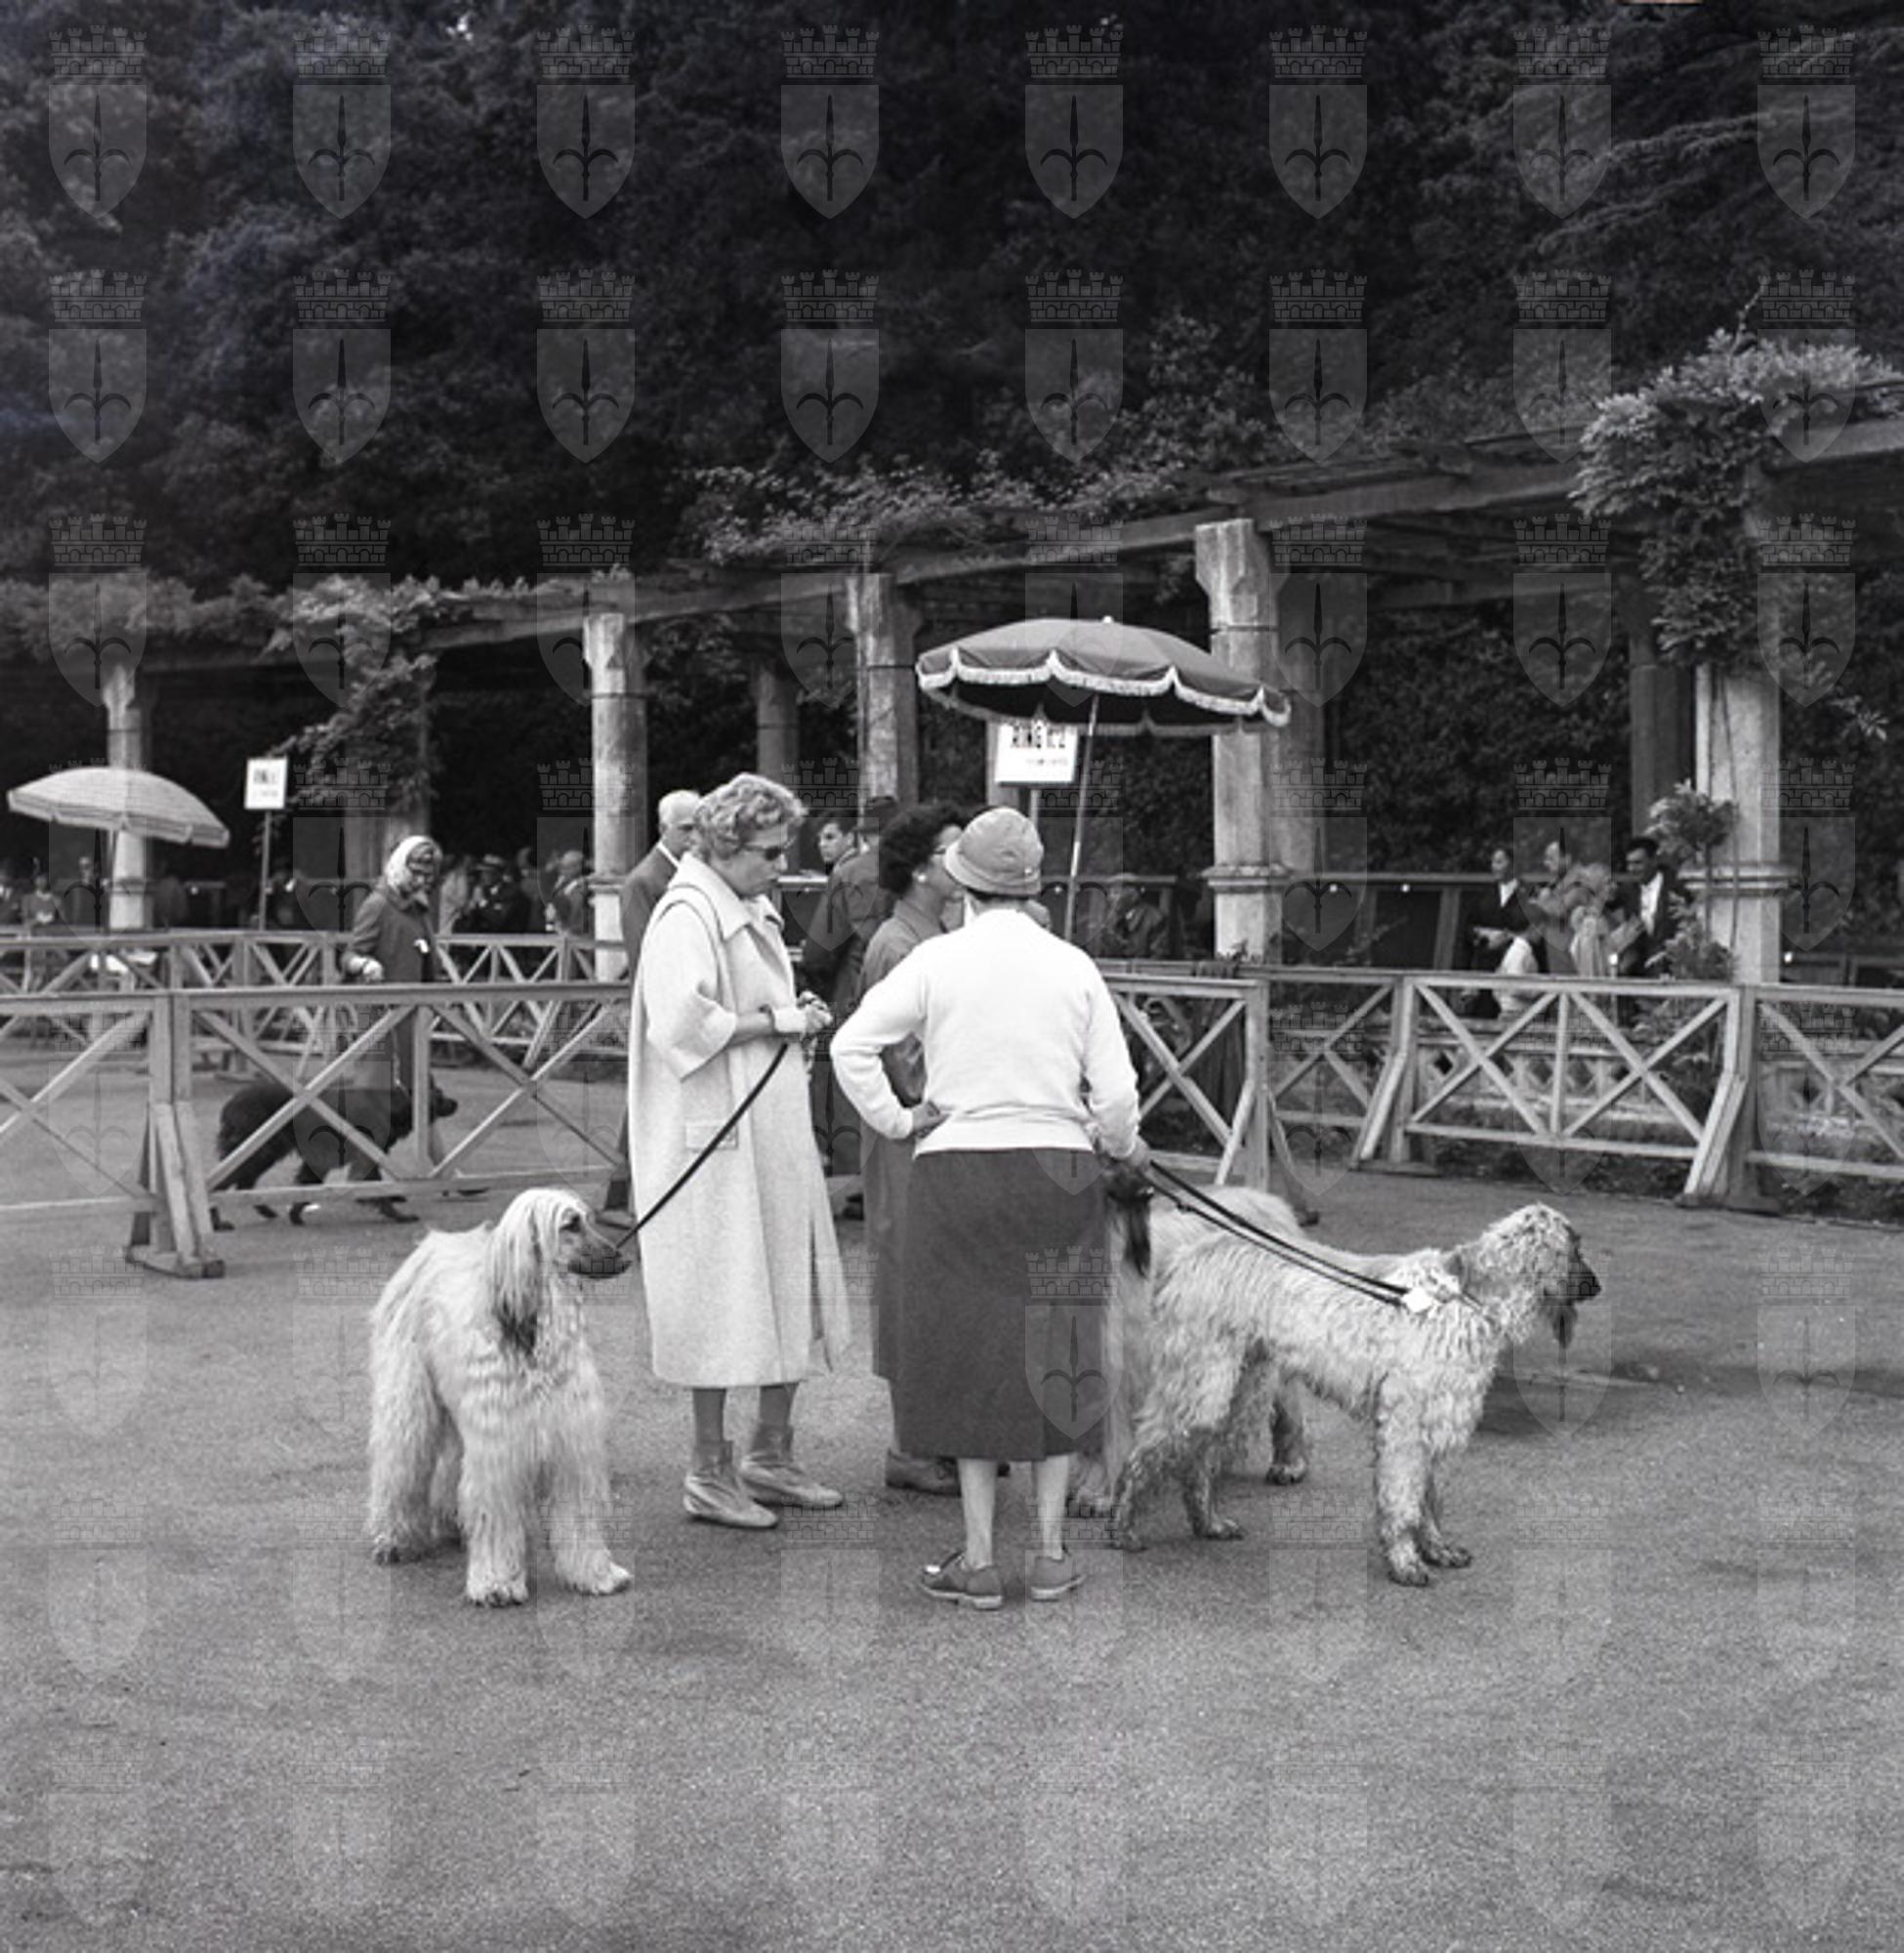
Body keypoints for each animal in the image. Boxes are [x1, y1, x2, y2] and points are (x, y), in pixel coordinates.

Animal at [212, 1077, 458, 1226]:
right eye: (441, 1095)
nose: (456, 1103)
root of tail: (230, 1104)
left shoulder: (320, 1162)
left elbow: (307, 1185)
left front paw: (295, 1213)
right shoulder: (363, 1157)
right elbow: (378, 1193)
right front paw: (399, 1215)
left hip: (263, 1153)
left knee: (244, 1184)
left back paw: (265, 1211)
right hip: (257, 1152)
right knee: (221, 1184)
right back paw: (217, 1222)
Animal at [365, 1188, 633, 1607]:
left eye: (590, 1219)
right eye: (570, 1224)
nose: (624, 1259)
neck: (535, 1343)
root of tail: (433, 1243)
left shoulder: (571, 1442)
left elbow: (578, 1513)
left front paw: (594, 1574)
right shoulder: (499, 1445)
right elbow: (495, 1513)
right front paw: (496, 1583)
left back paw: (451, 1522)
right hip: (409, 1398)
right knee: (400, 1463)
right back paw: (394, 1538)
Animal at [1109, 1196, 1600, 1585]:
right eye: (1574, 1247)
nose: (1597, 1286)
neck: (1464, 1296)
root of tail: (1189, 1255)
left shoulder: (1439, 1421)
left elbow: (1430, 1498)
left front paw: (1436, 1548)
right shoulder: (1405, 1425)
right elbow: (1403, 1497)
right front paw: (1404, 1561)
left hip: (1240, 1387)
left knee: (1199, 1459)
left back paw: (1207, 1522)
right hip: (1201, 1384)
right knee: (1145, 1451)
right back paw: (1122, 1524)